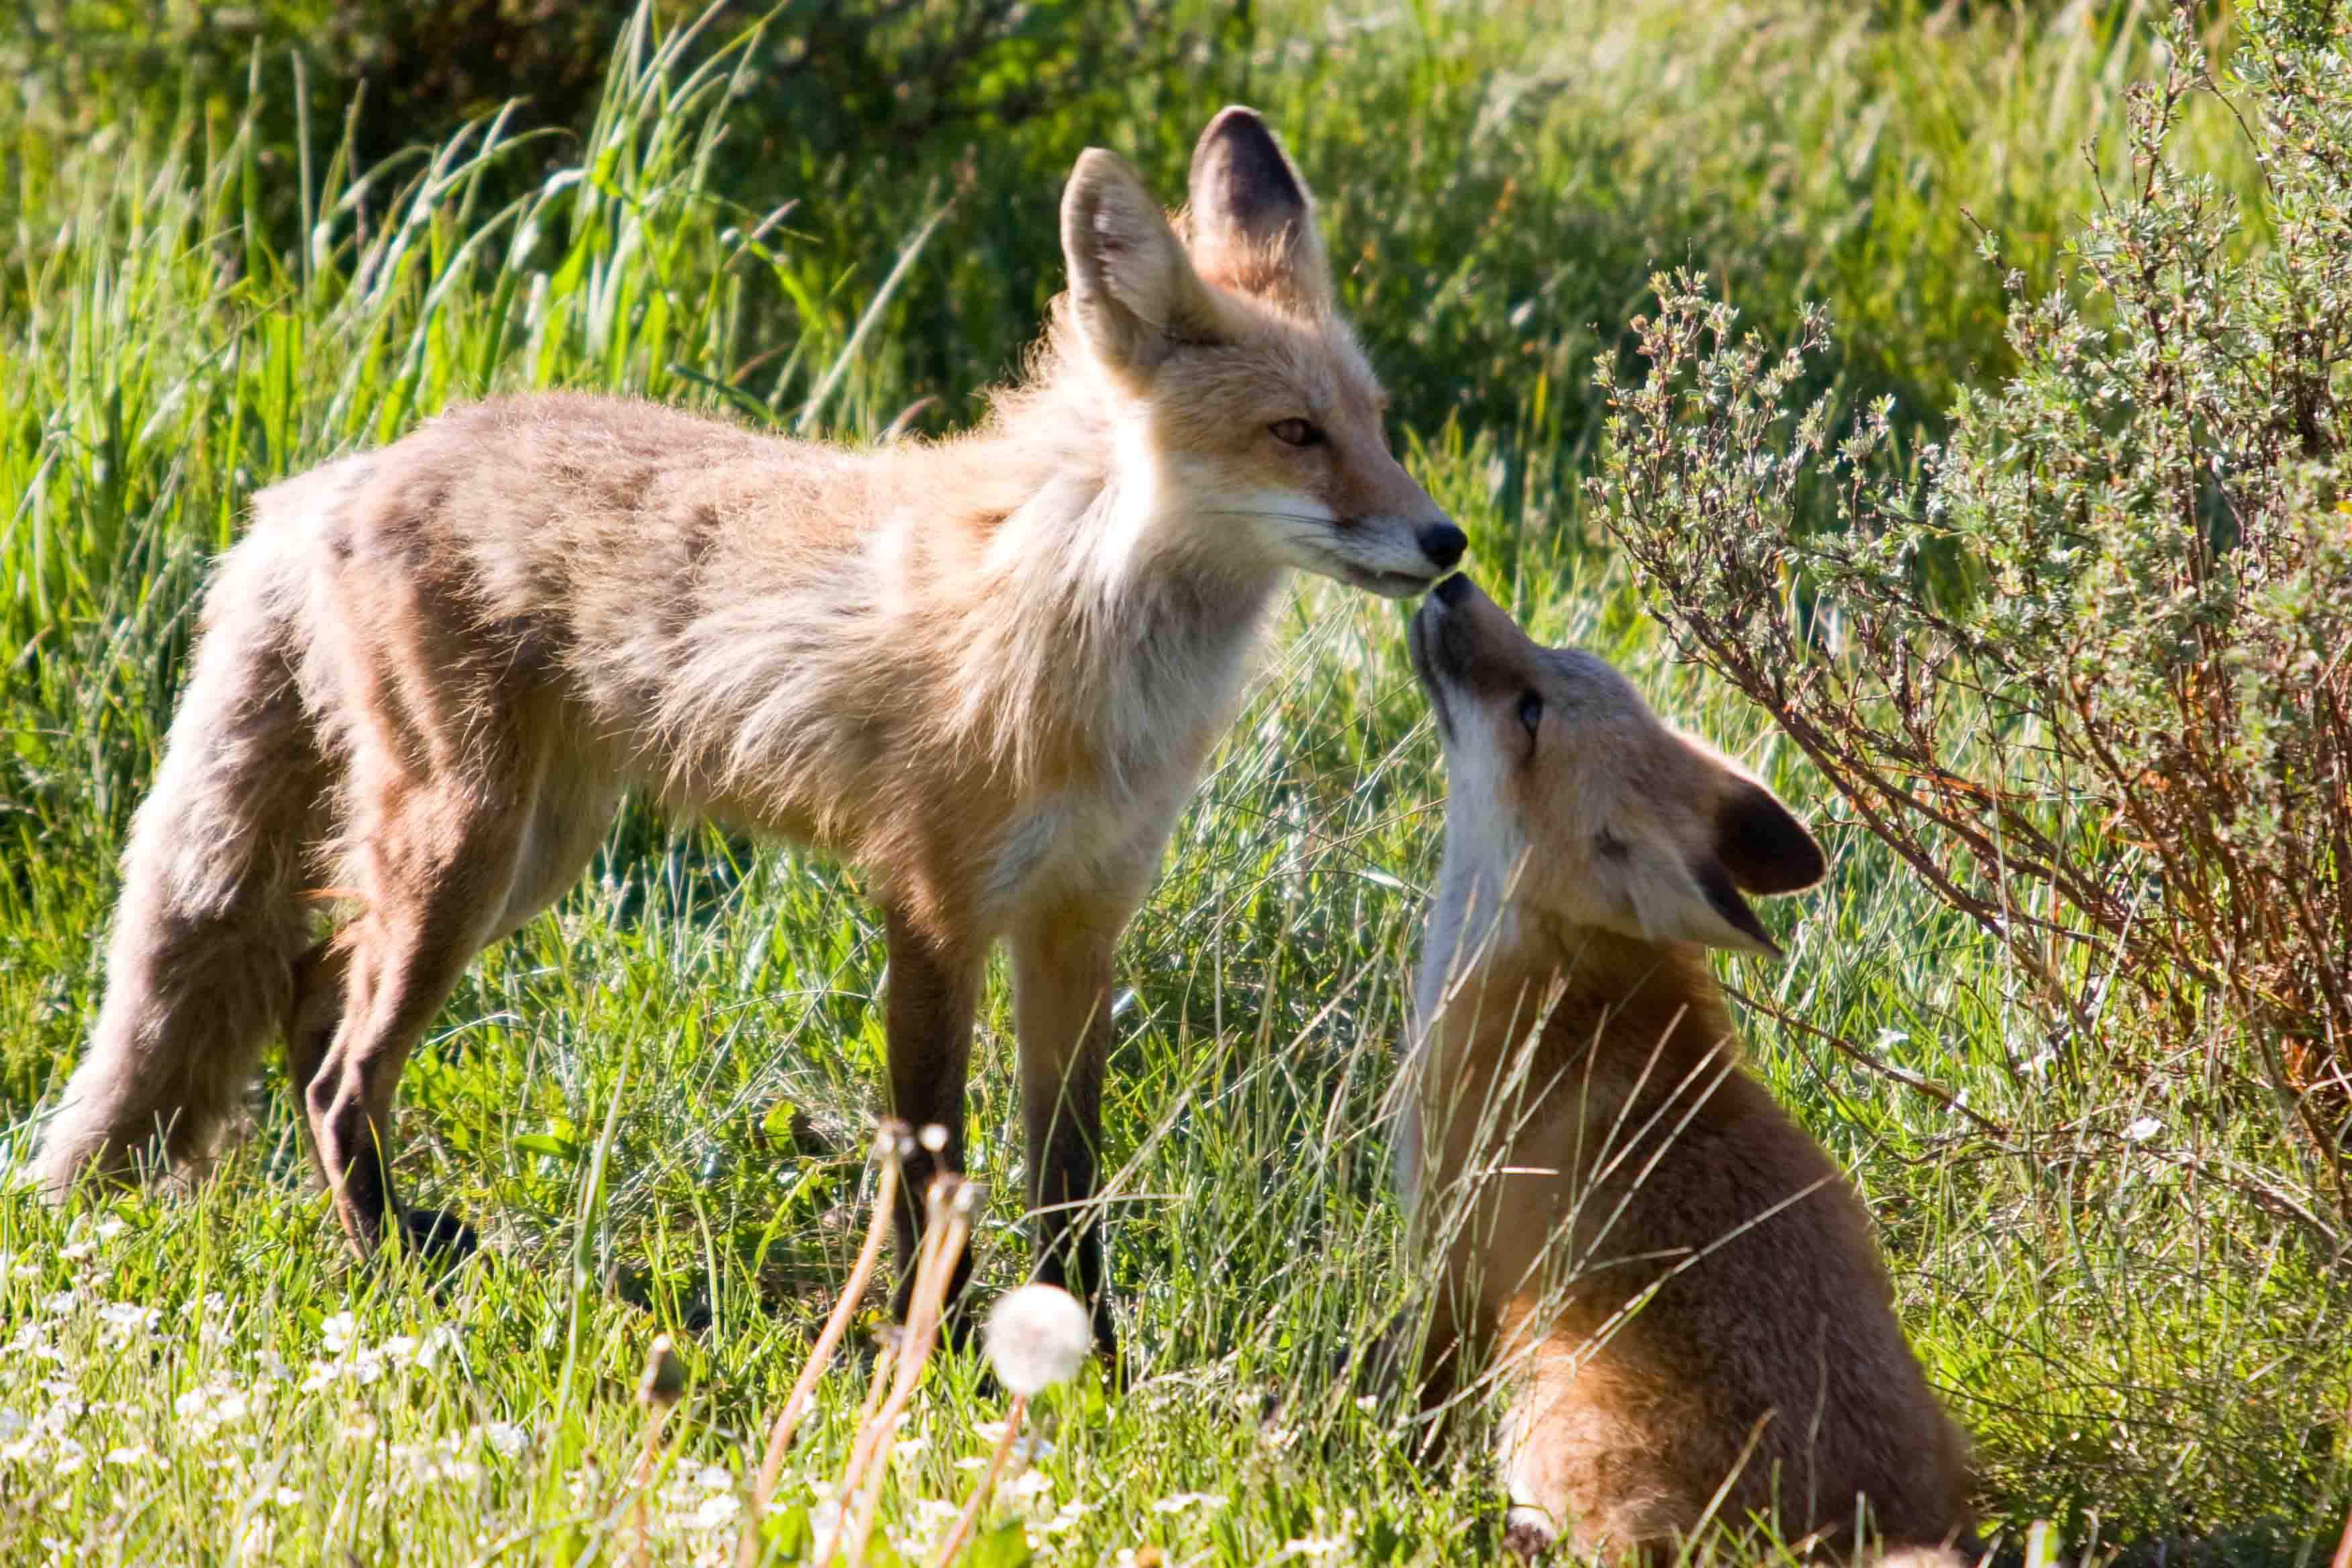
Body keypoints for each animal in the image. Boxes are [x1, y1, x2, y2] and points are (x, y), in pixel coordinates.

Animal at [36, 103, 1458, 1344]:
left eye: (1378, 425)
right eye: (1293, 433)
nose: (1446, 543)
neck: (1084, 635)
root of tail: (337, 475)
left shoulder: (1080, 918)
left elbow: (1069, 1183)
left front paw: (1088, 1366)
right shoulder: (932, 905)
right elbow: (931, 1161)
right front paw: (927, 1356)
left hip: (521, 855)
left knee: (309, 1001)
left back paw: (405, 1234)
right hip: (465, 850)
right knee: (338, 1067)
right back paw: (397, 1268)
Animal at [1392, 583, 1966, 1561]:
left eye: (1531, 712)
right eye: (1554, 657)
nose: (1454, 581)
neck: (1561, 992)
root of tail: (1850, 1529)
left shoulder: (1453, 1247)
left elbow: (1421, 1389)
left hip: (1545, 1407)